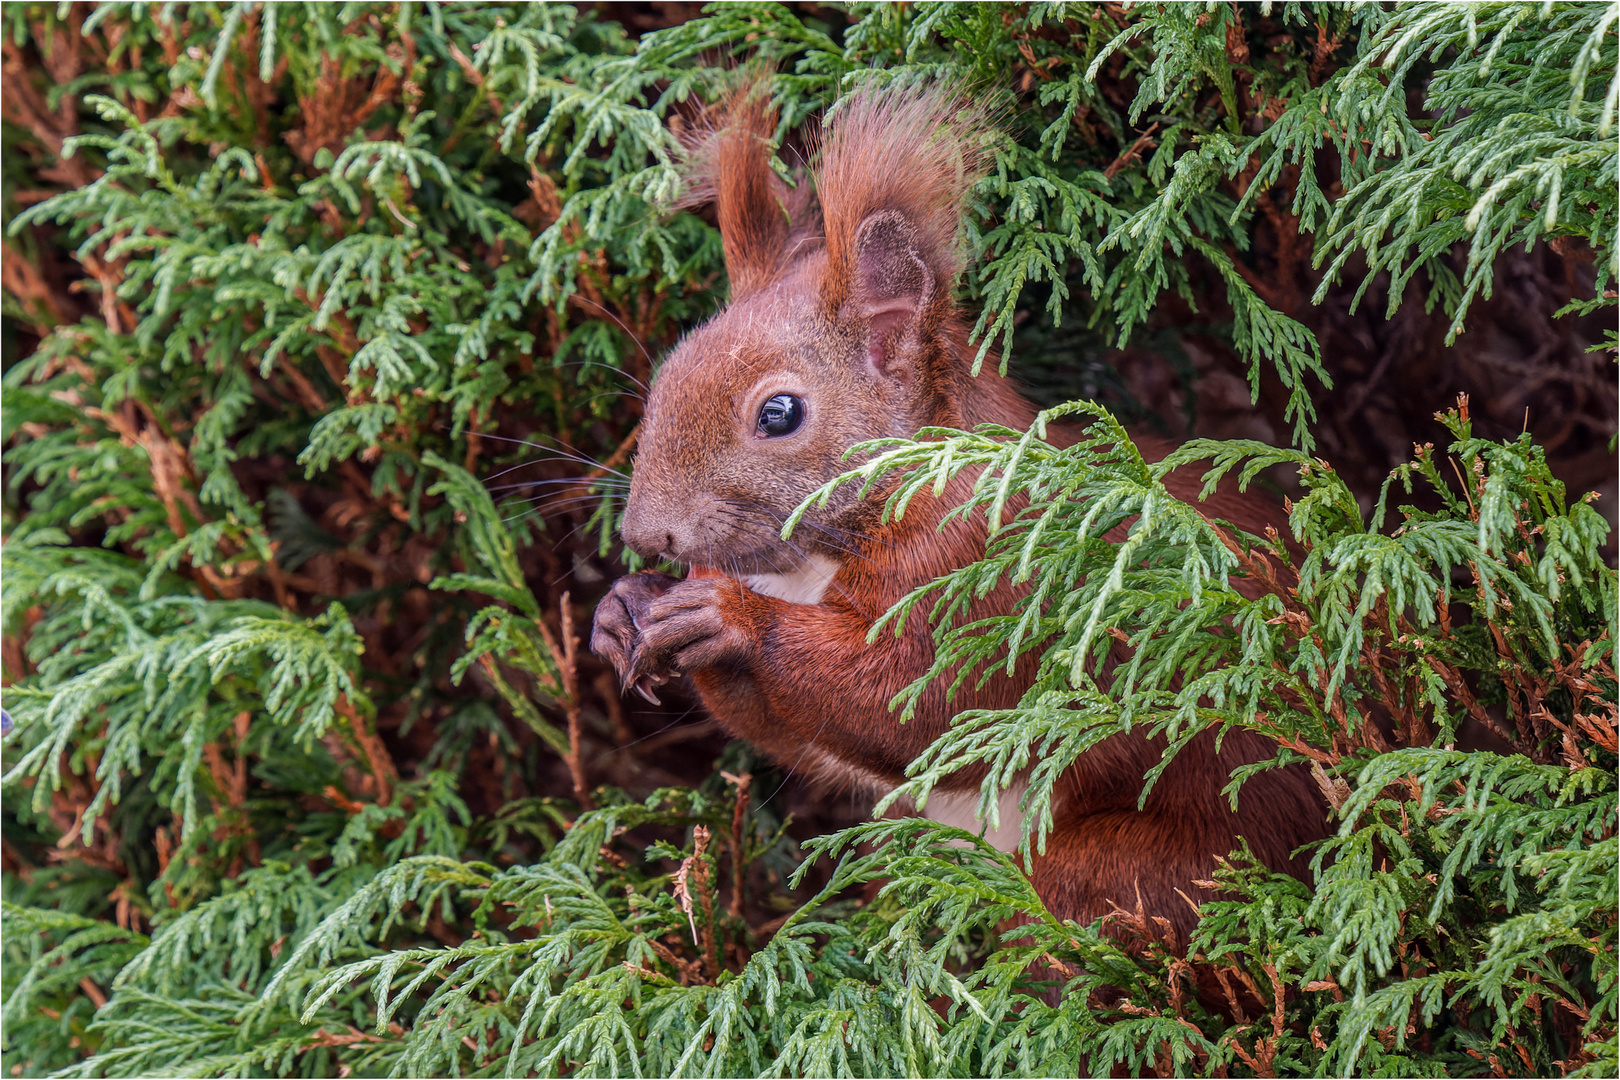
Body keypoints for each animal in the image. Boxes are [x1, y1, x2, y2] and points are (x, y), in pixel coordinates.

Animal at [586, 86, 1328, 945]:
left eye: (779, 413)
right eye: (666, 375)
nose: (647, 534)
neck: (813, 564)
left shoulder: (987, 574)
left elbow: (916, 703)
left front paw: (731, 619)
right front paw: (623, 608)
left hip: (1137, 870)